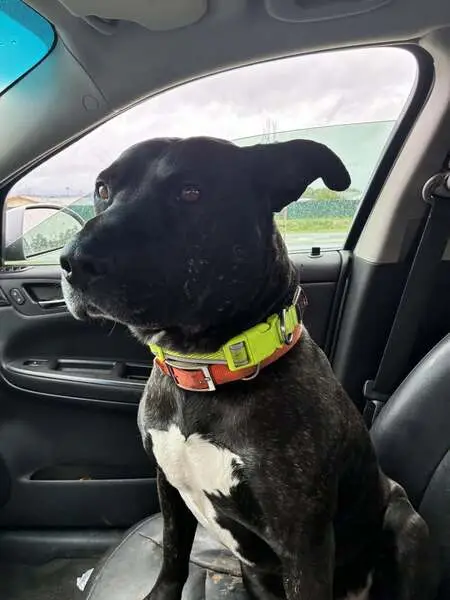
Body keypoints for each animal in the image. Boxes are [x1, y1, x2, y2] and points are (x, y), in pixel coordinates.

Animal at [61, 137, 435, 600]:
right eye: (102, 189)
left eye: (191, 192)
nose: (73, 261)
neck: (204, 372)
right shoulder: (168, 487)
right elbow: (173, 555)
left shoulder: (304, 543)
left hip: (406, 523)